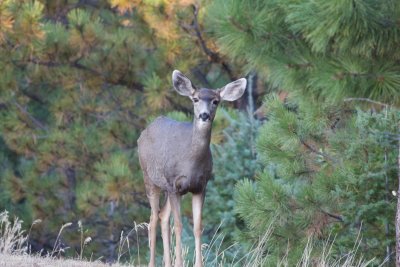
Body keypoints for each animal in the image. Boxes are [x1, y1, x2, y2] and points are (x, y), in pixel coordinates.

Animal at [138, 70, 247, 266]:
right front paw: (180, 263)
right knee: (153, 219)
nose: (204, 115)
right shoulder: (174, 184)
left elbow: (197, 226)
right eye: (195, 99)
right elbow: (179, 225)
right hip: (150, 179)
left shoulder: (200, 186)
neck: (191, 162)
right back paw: (152, 263)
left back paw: (167, 263)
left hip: (167, 189)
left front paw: (198, 263)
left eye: (215, 101)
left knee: (162, 216)